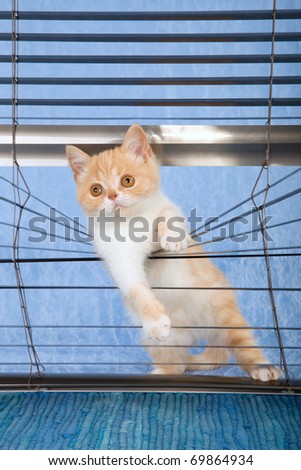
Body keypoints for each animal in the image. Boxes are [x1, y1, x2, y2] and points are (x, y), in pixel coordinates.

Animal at [67, 122, 280, 382]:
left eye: (127, 181)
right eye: (96, 190)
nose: (113, 196)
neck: (128, 223)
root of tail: (198, 334)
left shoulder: (166, 208)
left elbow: (169, 217)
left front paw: (171, 238)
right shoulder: (117, 257)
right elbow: (135, 288)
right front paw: (155, 320)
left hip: (222, 309)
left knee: (238, 343)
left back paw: (262, 366)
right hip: (160, 343)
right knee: (181, 364)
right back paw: (162, 373)